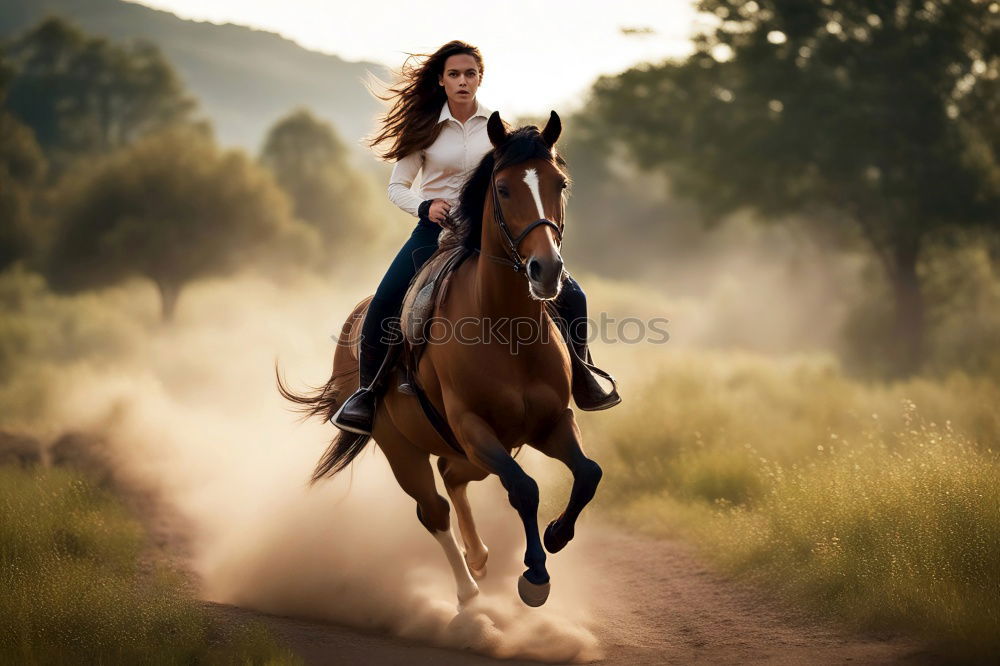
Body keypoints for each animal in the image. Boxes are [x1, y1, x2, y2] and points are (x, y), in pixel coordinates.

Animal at [274, 110, 600, 608]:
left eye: (559, 183)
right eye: (503, 188)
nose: (546, 270)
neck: (507, 330)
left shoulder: (550, 422)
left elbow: (588, 474)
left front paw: (557, 535)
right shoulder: (473, 428)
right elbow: (524, 488)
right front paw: (534, 576)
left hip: (467, 450)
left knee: (453, 475)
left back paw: (480, 556)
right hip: (403, 448)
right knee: (434, 509)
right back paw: (467, 593)